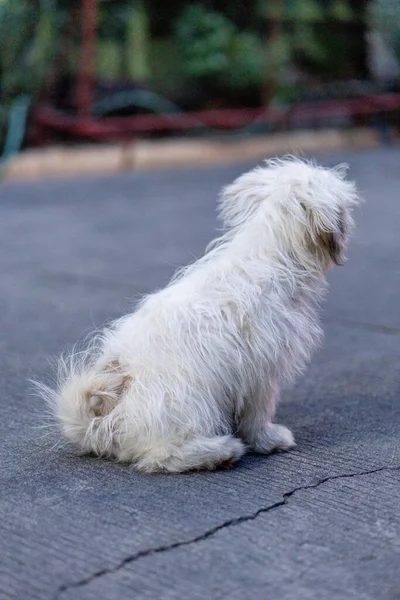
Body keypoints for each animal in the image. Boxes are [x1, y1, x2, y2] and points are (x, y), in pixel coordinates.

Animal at [39, 157, 360, 472]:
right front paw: (267, 440)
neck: (270, 259)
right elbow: (258, 412)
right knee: (160, 457)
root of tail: (107, 426)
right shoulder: (261, 370)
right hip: (190, 403)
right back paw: (219, 451)